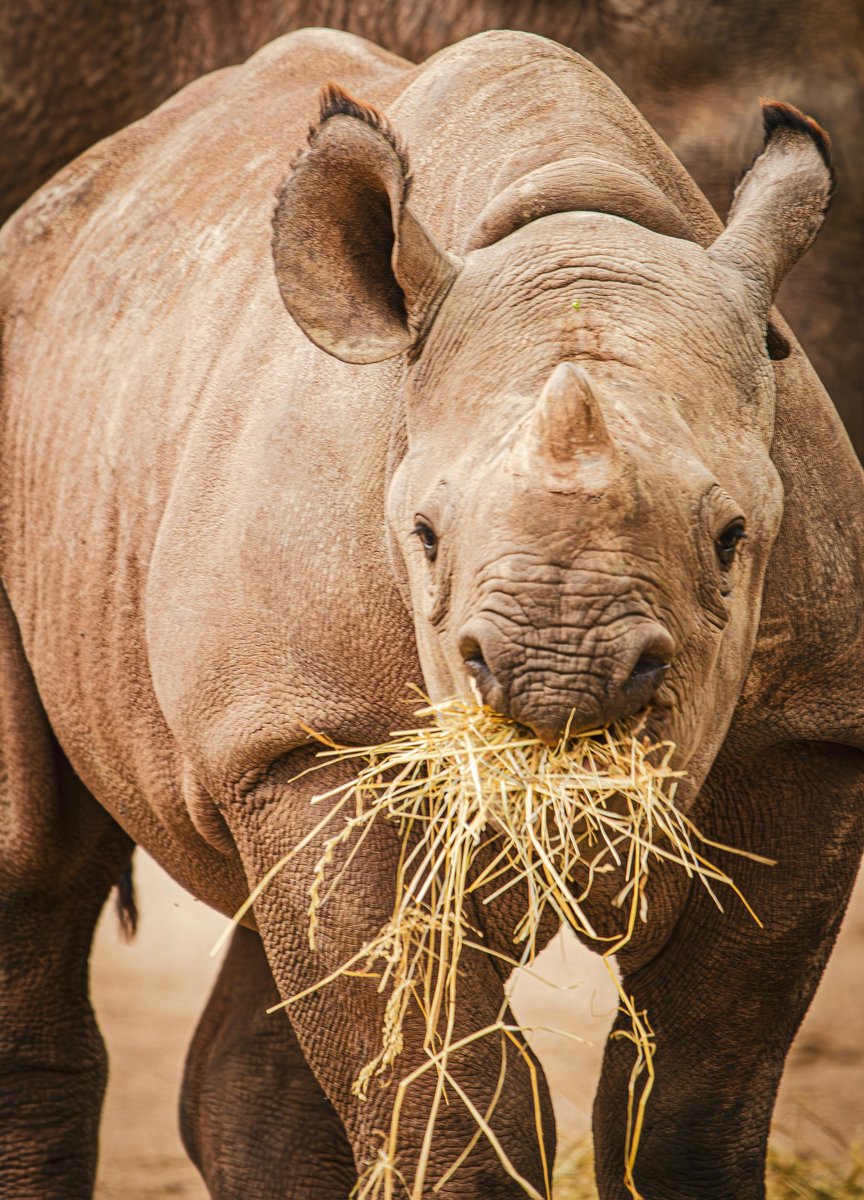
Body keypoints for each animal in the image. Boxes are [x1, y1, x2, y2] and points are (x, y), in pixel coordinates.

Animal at [0, 27, 861, 1200]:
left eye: (733, 537)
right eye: (423, 535)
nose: (557, 679)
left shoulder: (809, 735)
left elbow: (695, 1097)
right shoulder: (313, 745)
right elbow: (444, 1091)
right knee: (32, 868)